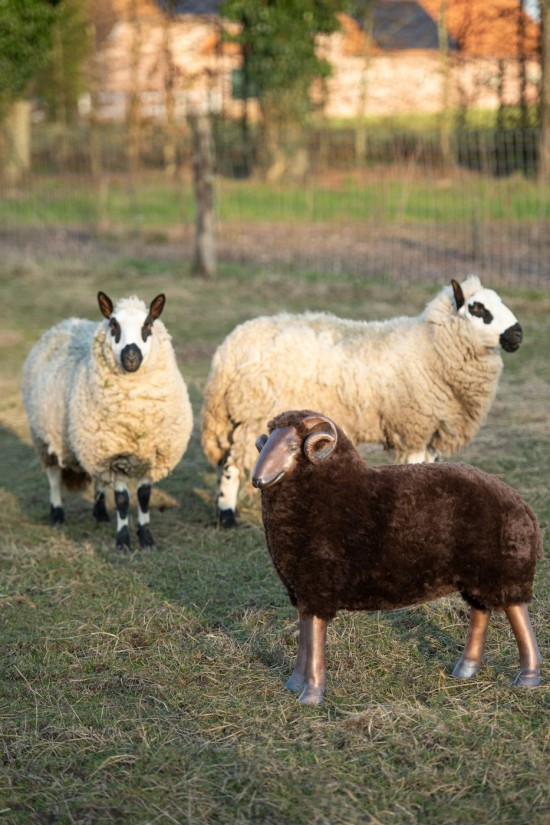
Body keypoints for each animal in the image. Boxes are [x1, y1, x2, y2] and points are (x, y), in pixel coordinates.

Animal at [22, 291, 193, 550]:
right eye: (113, 325)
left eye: (148, 324)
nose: (131, 357)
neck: (135, 415)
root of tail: (67, 322)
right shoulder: (114, 455)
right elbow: (122, 499)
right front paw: (123, 541)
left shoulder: (148, 454)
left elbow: (144, 497)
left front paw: (146, 538)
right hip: (45, 438)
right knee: (53, 477)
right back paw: (57, 514)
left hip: (92, 445)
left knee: (97, 479)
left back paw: (100, 512)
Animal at [201, 275, 523, 528]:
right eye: (478, 309)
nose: (517, 334)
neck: (432, 347)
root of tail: (229, 348)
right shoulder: (413, 425)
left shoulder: (432, 427)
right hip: (254, 412)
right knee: (232, 464)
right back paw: (227, 515)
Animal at [252, 409, 543, 704]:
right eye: (266, 443)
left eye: (292, 446)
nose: (258, 479)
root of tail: (522, 504)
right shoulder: (302, 591)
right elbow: (305, 636)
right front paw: (293, 684)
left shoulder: (318, 588)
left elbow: (314, 637)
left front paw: (311, 694)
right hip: (477, 574)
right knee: (480, 611)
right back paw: (465, 669)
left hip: (505, 570)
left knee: (517, 612)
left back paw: (528, 676)